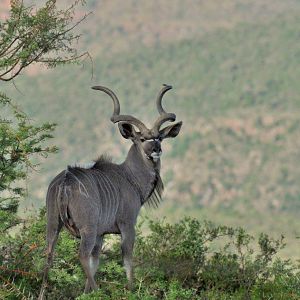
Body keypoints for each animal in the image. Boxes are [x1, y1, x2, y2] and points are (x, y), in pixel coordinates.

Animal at [38, 84, 182, 298]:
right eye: (141, 138)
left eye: (159, 138)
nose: (156, 150)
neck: (129, 177)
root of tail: (65, 180)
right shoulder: (127, 225)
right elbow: (127, 259)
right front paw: (130, 290)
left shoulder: (100, 235)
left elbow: (95, 262)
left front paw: (86, 293)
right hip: (87, 229)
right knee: (81, 255)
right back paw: (99, 292)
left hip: (53, 224)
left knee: (49, 254)